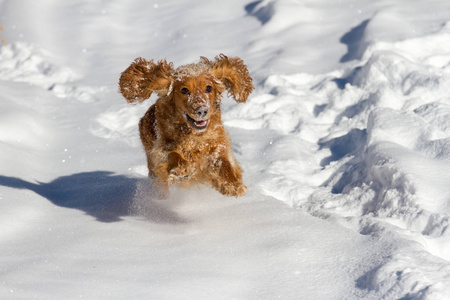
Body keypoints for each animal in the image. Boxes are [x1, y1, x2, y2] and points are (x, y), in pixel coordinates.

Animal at [118, 54, 253, 197]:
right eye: (184, 90)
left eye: (208, 88)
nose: (201, 110)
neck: (193, 136)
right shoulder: (161, 149)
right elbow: (173, 154)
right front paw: (182, 168)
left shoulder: (217, 145)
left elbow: (224, 164)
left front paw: (231, 184)